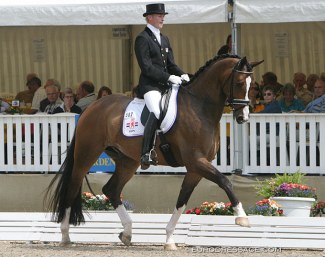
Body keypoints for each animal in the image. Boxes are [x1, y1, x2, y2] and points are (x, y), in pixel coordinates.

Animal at [45, 54, 262, 250]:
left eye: (252, 85)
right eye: (240, 82)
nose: (243, 117)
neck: (199, 106)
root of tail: (90, 108)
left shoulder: (195, 168)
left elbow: (182, 201)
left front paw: (169, 240)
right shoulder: (196, 161)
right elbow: (224, 181)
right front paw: (242, 217)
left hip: (127, 161)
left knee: (111, 189)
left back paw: (127, 233)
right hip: (86, 155)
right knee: (73, 187)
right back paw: (65, 236)